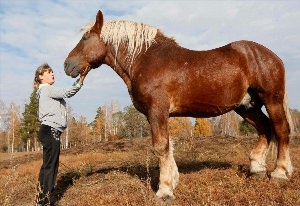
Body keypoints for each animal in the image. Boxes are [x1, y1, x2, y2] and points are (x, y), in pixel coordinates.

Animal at [63, 10, 292, 201]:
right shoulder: (156, 114)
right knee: (265, 129)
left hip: (271, 100)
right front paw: (172, 182)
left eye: (85, 37)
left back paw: (280, 173)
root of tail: (273, 56)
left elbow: (161, 147)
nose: (67, 65)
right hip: (247, 106)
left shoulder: (158, 110)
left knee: (281, 130)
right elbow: (168, 146)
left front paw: (164, 191)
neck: (145, 60)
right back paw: (257, 170)